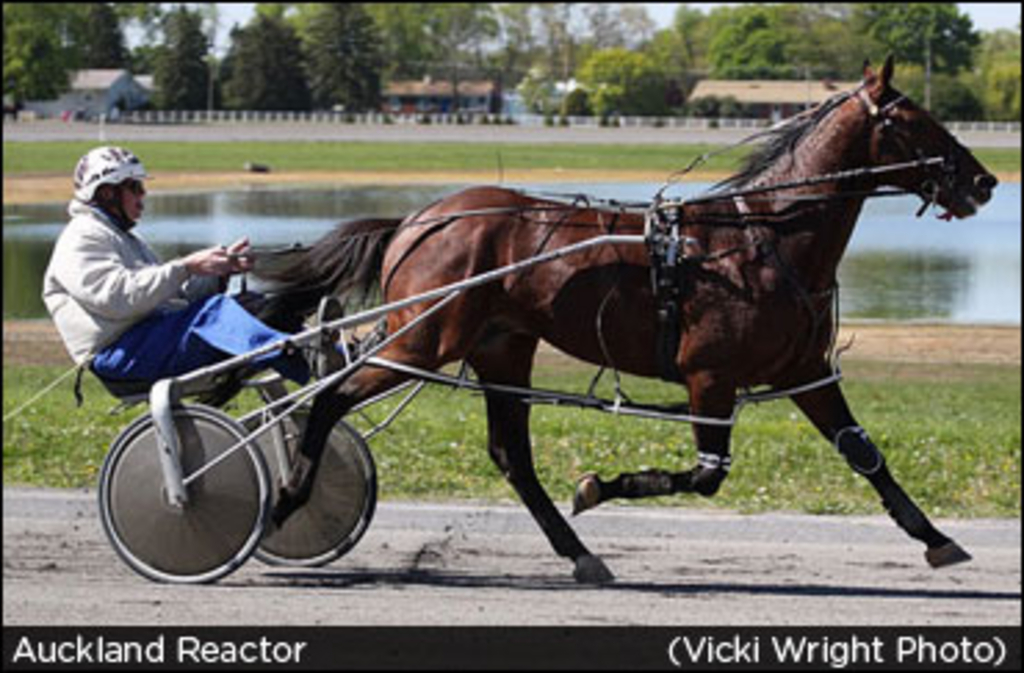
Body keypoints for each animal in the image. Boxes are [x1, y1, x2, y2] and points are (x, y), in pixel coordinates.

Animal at [260, 59, 995, 581]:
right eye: (915, 120)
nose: (985, 182)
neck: (766, 237)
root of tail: (418, 219)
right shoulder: (709, 375)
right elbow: (706, 474)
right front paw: (599, 485)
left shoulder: (805, 371)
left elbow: (864, 454)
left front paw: (937, 538)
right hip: (418, 340)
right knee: (330, 398)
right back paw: (288, 498)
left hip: (500, 346)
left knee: (511, 455)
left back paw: (579, 552)